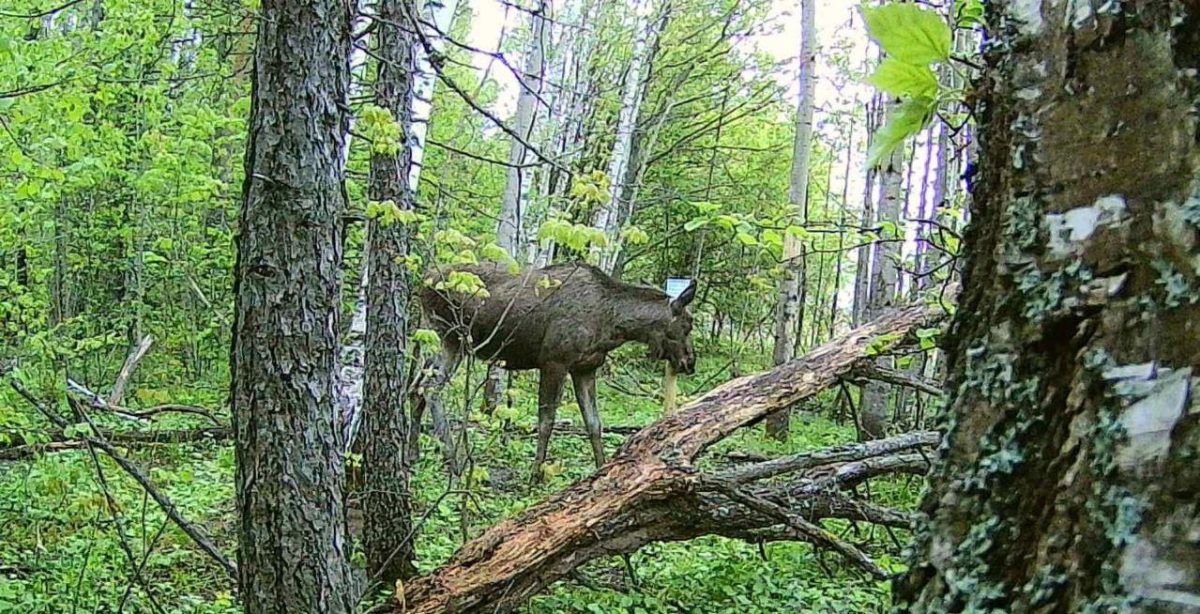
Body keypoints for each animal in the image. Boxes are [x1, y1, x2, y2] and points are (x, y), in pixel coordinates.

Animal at [422, 260, 700, 479]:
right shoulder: (554, 362)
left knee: (420, 386)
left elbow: (594, 423)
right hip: (450, 337)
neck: (612, 324)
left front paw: (601, 469)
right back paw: (452, 461)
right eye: (688, 324)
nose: (690, 362)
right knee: (430, 388)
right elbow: (546, 422)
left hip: (446, 343)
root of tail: (422, 283)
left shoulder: (585, 368)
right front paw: (535, 476)